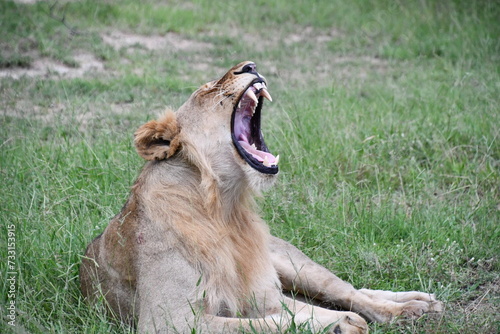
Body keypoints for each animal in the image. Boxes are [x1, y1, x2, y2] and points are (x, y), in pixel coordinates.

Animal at [80, 61, 444, 332]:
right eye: (207, 90)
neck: (224, 206)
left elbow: (285, 314)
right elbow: (267, 323)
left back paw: (414, 306)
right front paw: (340, 325)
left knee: (350, 291)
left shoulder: (257, 291)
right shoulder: (169, 320)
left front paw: (343, 321)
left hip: (291, 262)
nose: (250, 65)